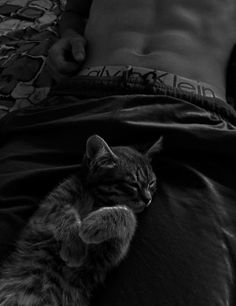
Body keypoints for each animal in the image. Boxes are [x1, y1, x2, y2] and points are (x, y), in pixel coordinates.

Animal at [0, 135, 161, 304]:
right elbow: (64, 212)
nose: (148, 200)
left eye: (151, 183)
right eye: (132, 184)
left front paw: (92, 225)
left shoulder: (110, 253)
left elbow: (129, 215)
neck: (97, 199)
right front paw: (75, 245)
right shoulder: (46, 210)